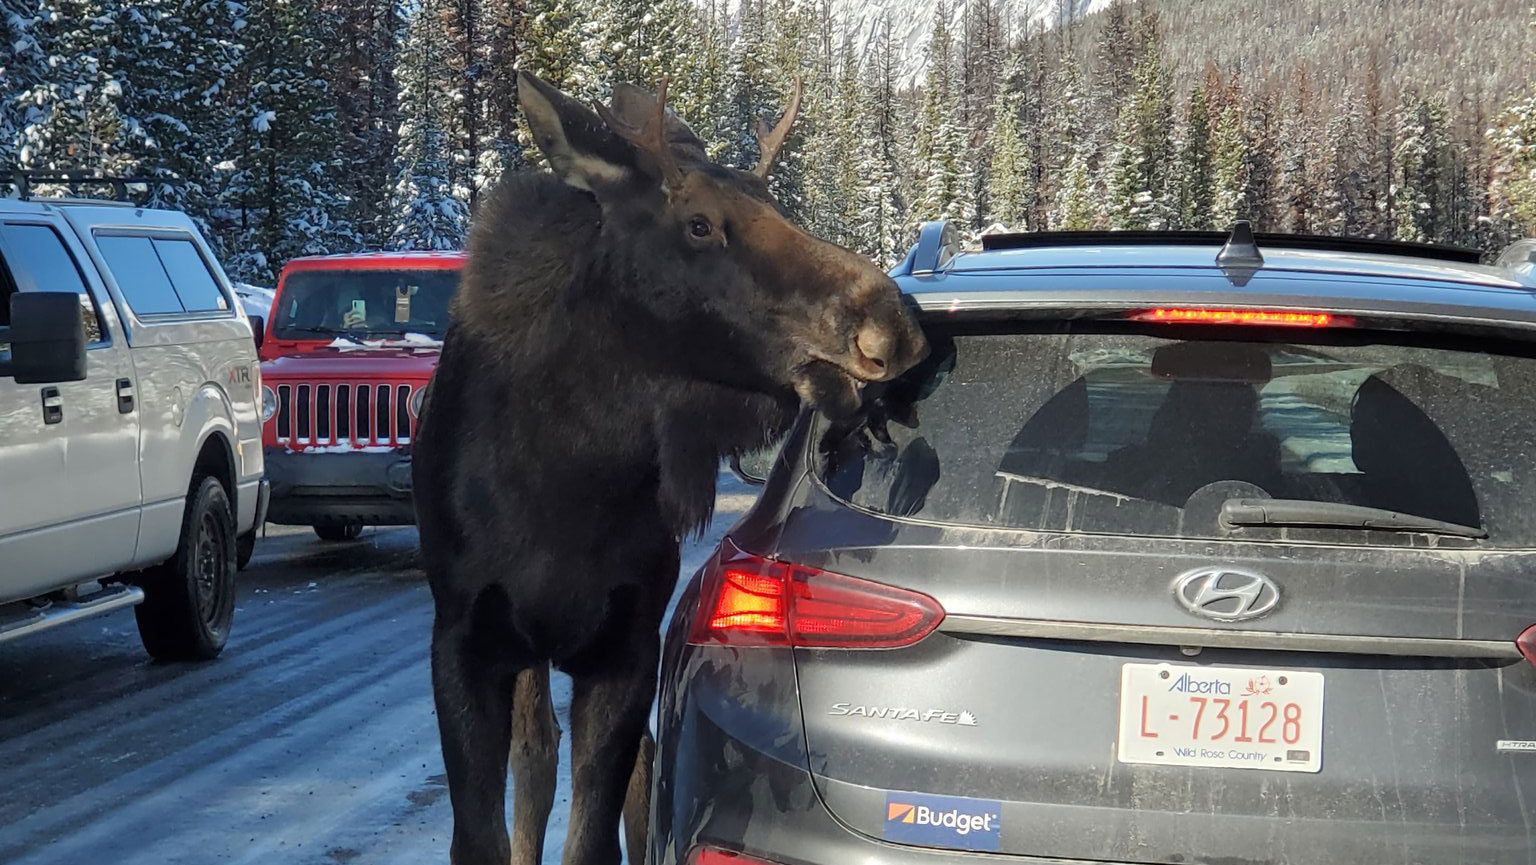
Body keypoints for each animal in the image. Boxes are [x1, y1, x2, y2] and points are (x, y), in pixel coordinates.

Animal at [408, 74, 927, 865]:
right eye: (700, 225)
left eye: (774, 203)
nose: (891, 323)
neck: (568, 485)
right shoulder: (464, 640)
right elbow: (481, 835)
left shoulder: (627, 646)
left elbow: (597, 834)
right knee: (538, 754)